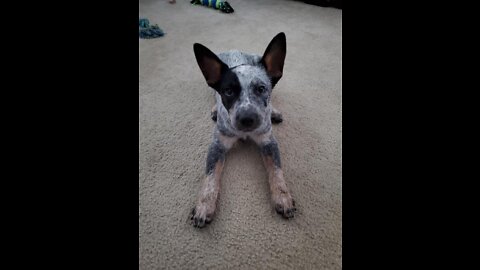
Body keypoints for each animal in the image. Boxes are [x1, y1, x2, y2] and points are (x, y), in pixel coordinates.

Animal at [188, 32, 294, 228]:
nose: (247, 119)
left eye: (261, 88)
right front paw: (204, 207)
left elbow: (276, 171)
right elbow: (210, 178)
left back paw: (274, 112)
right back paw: (215, 109)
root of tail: (234, 49)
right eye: (228, 91)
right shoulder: (217, 146)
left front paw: (283, 198)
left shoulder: (268, 142)